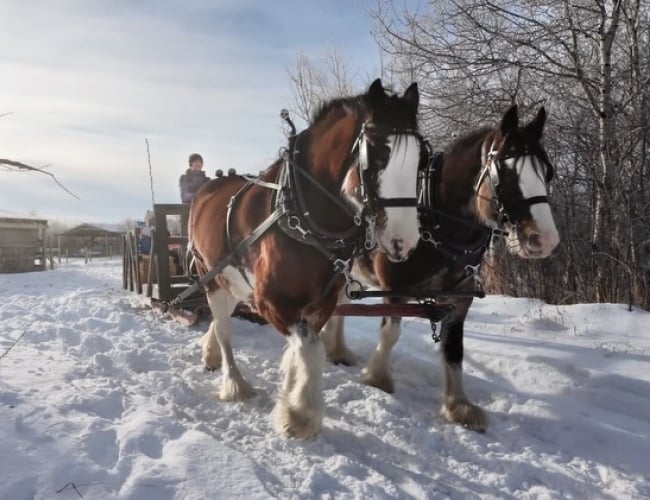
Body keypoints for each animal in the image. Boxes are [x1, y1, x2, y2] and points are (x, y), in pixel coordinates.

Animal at [188, 79, 429, 439]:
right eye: (377, 153)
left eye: (421, 159)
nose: (404, 240)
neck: (303, 214)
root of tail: (206, 189)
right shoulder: (271, 301)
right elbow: (310, 349)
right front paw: (301, 416)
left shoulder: (321, 303)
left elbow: (304, 349)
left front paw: (293, 400)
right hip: (212, 277)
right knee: (225, 329)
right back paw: (235, 383)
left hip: (231, 281)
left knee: (221, 322)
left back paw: (210, 353)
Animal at [322, 104, 560, 433]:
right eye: (507, 174)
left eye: (547, 171)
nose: (546, 239)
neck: (434, 219)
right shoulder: (394, 289)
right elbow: (390, 333)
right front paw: (378, 378)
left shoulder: (459, 299)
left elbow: (454, 350)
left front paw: (458, 406)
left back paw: (337, 350)